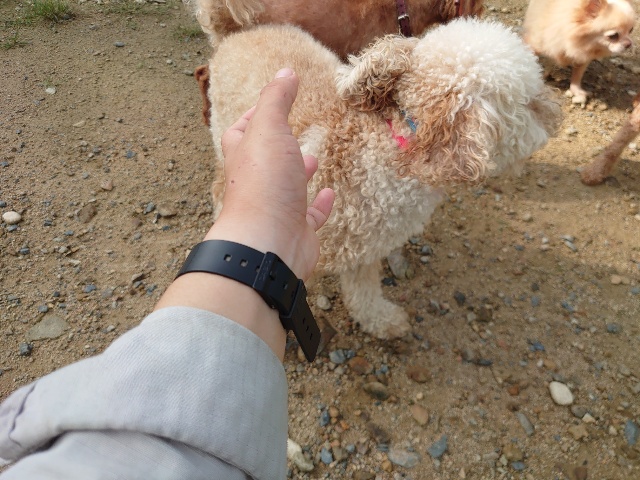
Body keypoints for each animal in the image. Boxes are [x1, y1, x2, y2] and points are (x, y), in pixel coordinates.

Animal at [206, 19, 561, 339]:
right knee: (220, 187)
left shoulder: (362, 248)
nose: (557, 113)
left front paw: (382, 321)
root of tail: (237, 32)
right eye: (530, 103)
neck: (386, 148)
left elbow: (364, 292)